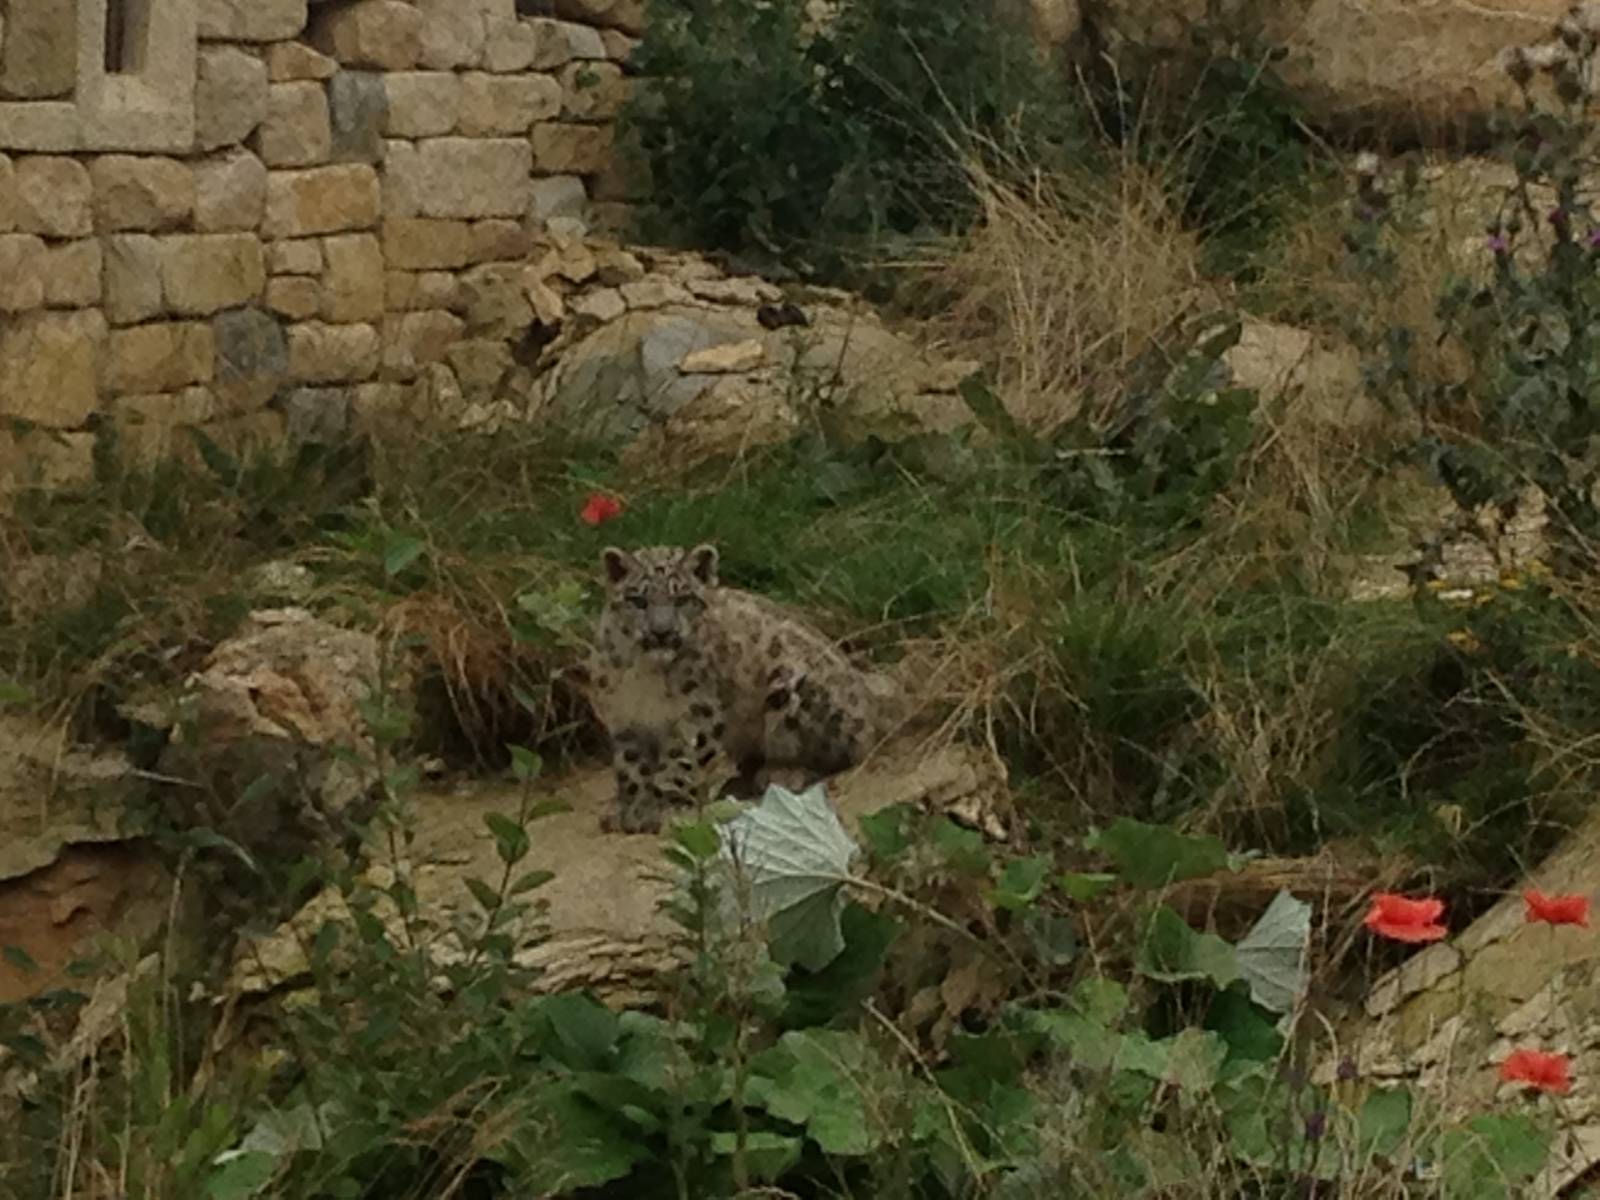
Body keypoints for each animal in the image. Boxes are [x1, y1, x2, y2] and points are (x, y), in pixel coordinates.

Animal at [584, 542, 900, 834]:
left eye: (683, 598)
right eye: (638, 600)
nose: (662, 632)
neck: (645, 676)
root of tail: (869, 699)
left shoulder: (698, 712)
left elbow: (679, 763)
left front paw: (665, 809)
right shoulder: (625, 719)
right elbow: (632, 769)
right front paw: (631, 810)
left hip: (795, 693)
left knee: (841, 754)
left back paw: (781, 775)